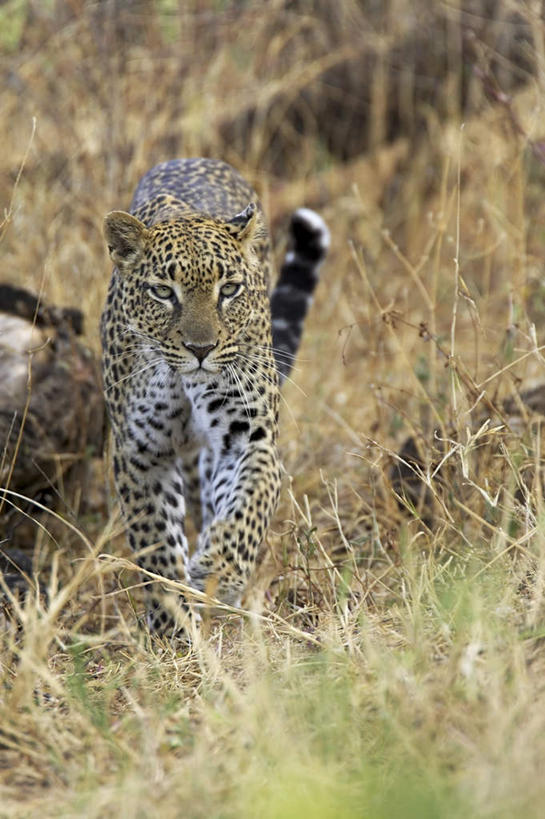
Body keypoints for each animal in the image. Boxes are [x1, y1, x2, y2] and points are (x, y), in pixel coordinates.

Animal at [100, 157, 328, 636]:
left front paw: (219, 571)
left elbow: (248, 504)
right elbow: (156, 541)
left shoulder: (249, 437)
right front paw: (172, 625)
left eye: (229, 290)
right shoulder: (140, 452)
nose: (201, 349)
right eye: (163, 292)